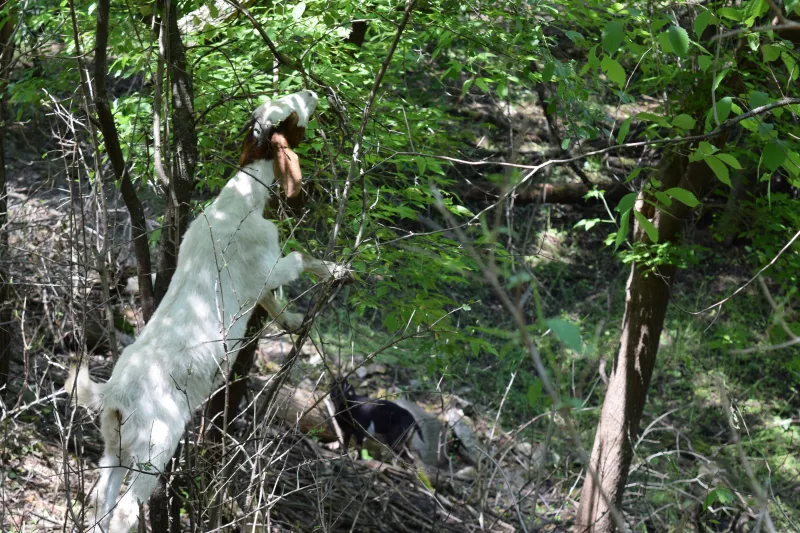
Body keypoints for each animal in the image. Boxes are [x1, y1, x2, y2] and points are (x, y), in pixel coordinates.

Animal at [66, 89, 344, 528]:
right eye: (289, 113)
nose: (313, 93)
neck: (239, 201)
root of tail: (113, 391)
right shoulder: (268, 265)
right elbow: (300, 261)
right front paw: (337, 271)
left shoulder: (256, 284)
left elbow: (271, 302)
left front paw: (294, 321)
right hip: (154, 445)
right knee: (126, 510)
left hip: (114, 449)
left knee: (99, 503)